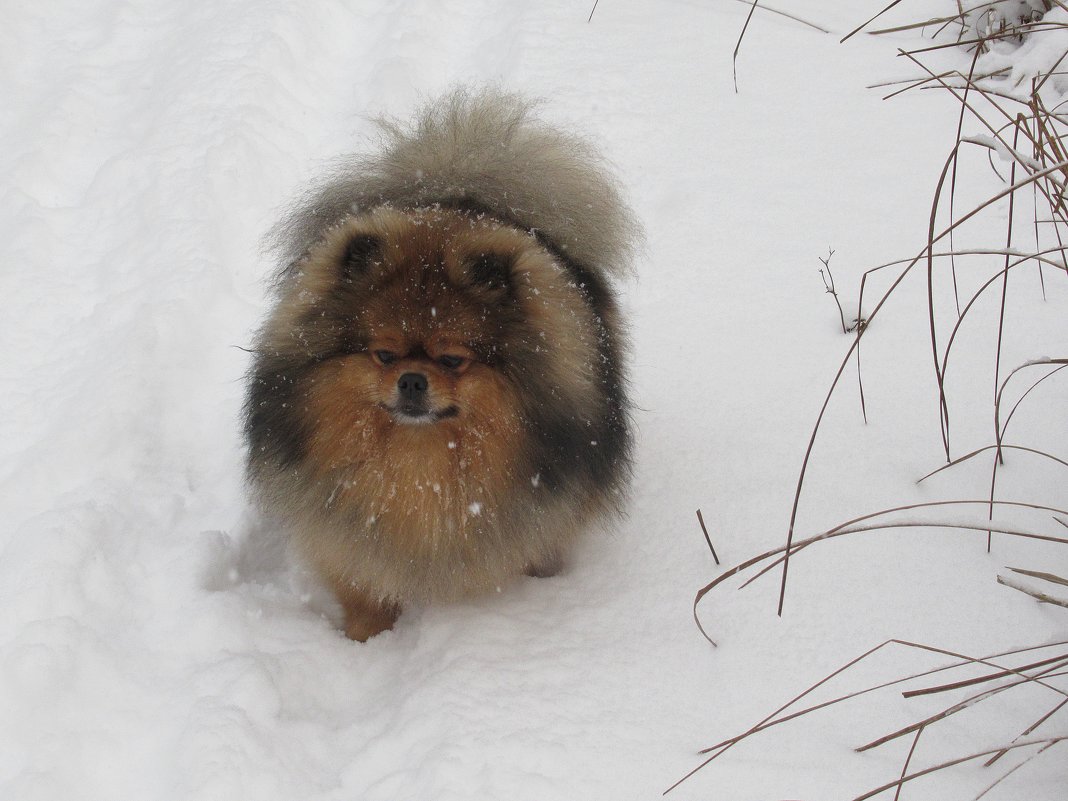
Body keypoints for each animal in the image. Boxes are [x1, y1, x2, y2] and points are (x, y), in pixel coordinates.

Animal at [245, 86, 636, 640]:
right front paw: (367, 644)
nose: (411, 381)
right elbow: (364, 592)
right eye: (383, 354)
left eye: (453, 359)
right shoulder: (348, 543)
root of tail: (453, 188)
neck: (420, 460)